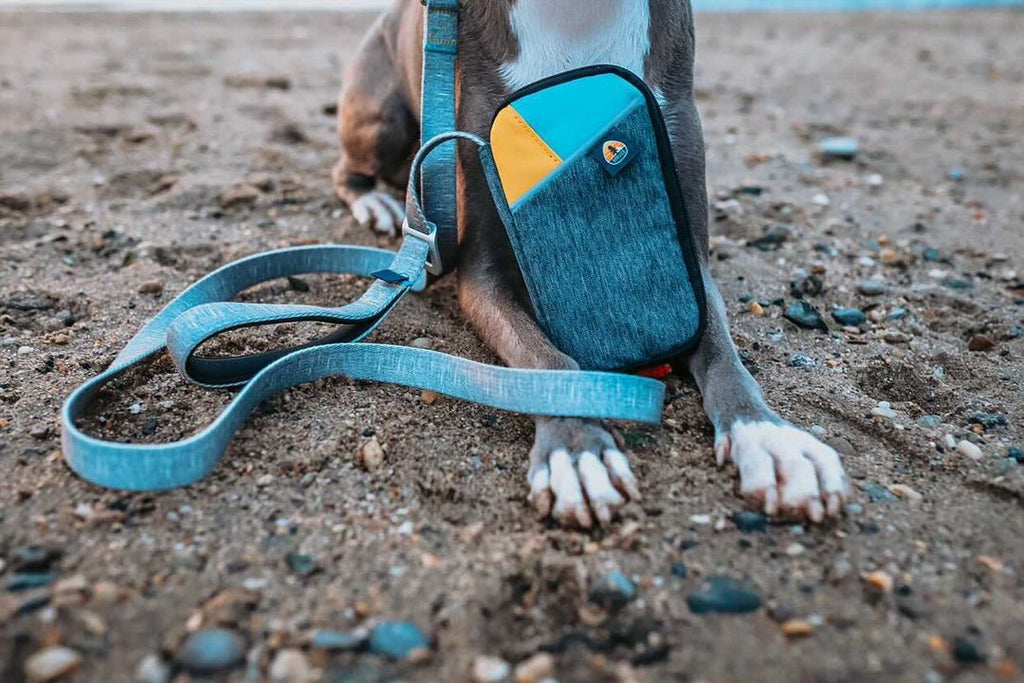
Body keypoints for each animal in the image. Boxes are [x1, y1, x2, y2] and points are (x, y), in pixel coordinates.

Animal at [331, 0, 851, 528]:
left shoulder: (689, 258)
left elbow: (724, 353)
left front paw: (771, 439)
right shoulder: (483, 275)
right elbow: (548, 361)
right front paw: (578, 451)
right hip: (381, 120)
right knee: (347, 168)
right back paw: (376, 203)